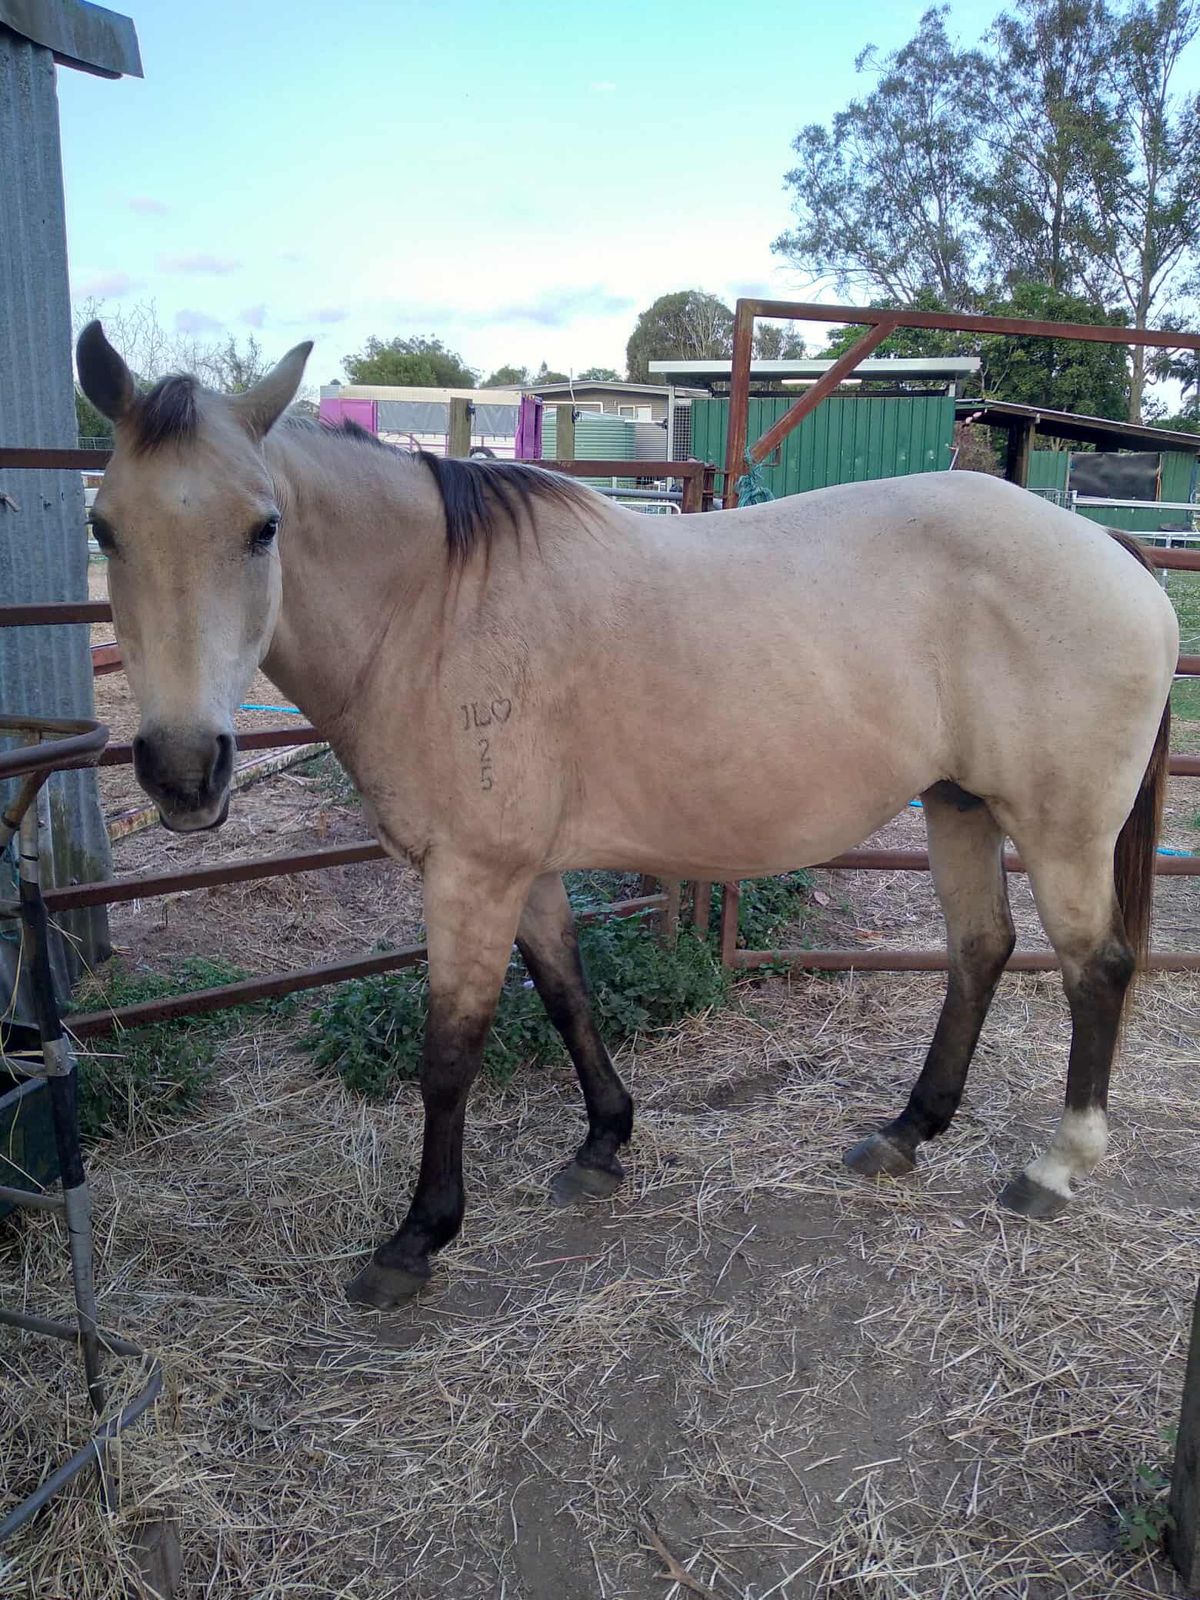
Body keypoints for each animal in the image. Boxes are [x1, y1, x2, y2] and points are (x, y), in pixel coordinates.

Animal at [76, 324, 1178, 1310]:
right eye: (104, 529)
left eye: (263, 527)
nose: (183, 770)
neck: (432, 613)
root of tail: (1111, 548)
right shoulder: (524, 872)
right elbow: (569, 995)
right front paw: (605, 1142)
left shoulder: (470, 875)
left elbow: (450, 1055)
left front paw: (417, 1238)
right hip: (957, 804)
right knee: (980, 948)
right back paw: (906, 1131)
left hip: (1061, 828)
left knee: (1095, 970)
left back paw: (1055, 1167)